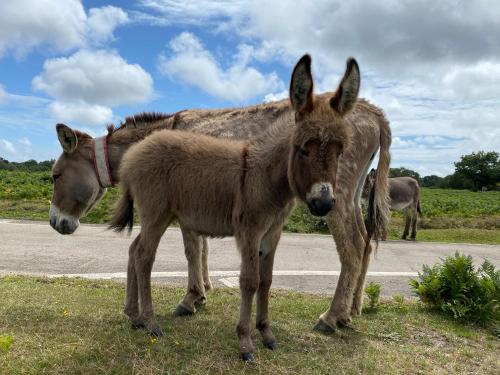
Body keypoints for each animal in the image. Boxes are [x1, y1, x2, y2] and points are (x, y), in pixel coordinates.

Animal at [110, 55, 364, 362]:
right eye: (303, 149)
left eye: (340, 151)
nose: (324, 203)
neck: (265, 175)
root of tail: (132, 156)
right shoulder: (249, 230)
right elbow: (249, 281)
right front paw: (245, 342)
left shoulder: (272, 233)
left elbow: (267, 281)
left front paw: (267, 334)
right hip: (156, 213)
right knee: (144, 256)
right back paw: (150, 322)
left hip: (156, 215)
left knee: (134, 250)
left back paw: (133, 316)